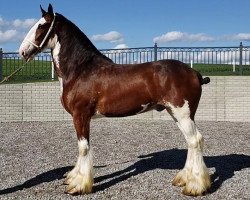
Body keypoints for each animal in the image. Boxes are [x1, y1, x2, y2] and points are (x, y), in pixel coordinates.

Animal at [19, 3, 211, 196]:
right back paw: (184, 179)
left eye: (42, 26)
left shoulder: (80, 115)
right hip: (176, 113)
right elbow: (82, 146)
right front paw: (73, 178)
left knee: (195, 141)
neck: (81, 70)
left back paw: (195, 186)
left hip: (182, 114)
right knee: (190, 142)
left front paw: (79, 185)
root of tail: (194, 73)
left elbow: (83, 147)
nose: (22, 51)